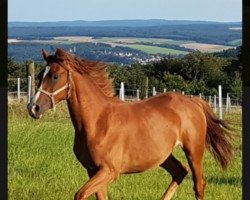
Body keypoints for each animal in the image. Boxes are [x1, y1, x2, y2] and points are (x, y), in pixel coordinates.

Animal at [28, 48, 233, 200]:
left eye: (55, 76)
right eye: (39, 75)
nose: (33, 108)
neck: (97, 122)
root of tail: (193, 101)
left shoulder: (109, 171)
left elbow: (80, 194)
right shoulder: (93, 171)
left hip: (194, 151)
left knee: (199, 184)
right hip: (163, 155)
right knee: (180, 171)